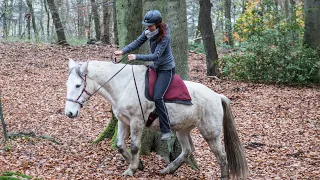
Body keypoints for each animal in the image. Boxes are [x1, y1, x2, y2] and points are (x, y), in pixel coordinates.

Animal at [64, 59, 248, 179]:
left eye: (78, 85)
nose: (70, 113)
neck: (124, 85)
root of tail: (216, 96)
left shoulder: (136, 122)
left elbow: (134, 146)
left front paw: (131, 169)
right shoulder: (123, 121)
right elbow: (120, 145)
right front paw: (138, 165)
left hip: (210, 133)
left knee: (221, 156)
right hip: (182, 129)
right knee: (188, 150)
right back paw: (168, 170)